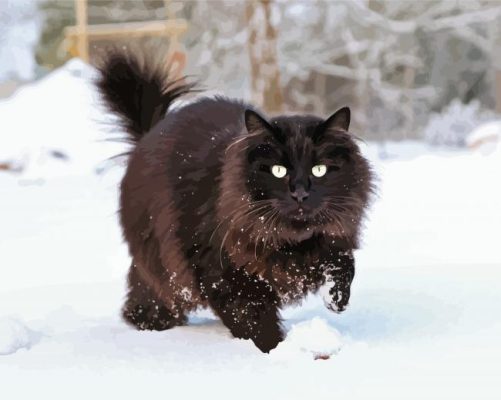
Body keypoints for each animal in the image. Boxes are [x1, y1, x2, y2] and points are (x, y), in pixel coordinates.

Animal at [97, 50, 374, 354]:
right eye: (278, 170)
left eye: (319, 170)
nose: (300, 193)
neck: (289, 244)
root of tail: (150, 132)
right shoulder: (225, 274)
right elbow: (253, 320)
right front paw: (276, 350)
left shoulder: (335, 237)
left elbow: (343, 265)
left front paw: (336, 299)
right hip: (162, 263)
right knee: (150, 293)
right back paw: (151, 324)